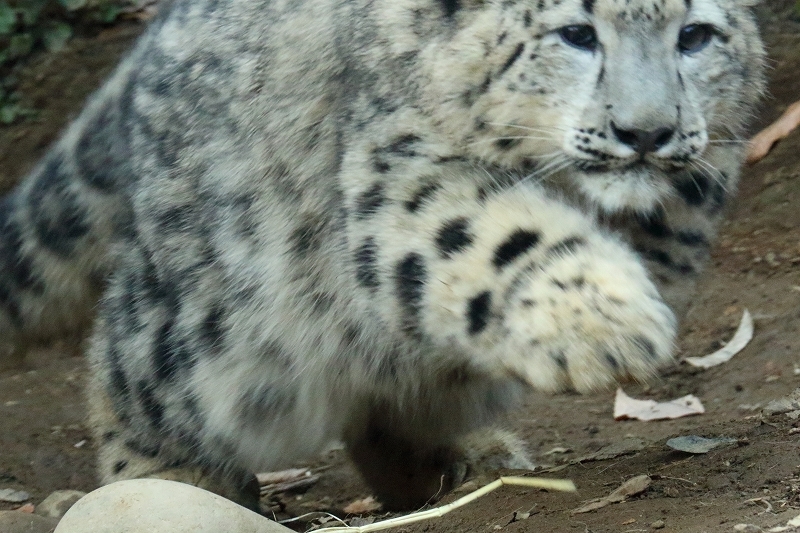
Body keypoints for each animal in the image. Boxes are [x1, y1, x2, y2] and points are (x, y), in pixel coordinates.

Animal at [0, 0, 764, 510]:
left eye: (695, 36)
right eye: (576, 34)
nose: (646, 132)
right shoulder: (400, 168)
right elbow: (486, 231)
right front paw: (600, 324)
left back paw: (455, 458)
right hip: (228, 313)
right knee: (133, 354)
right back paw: (163, 478)